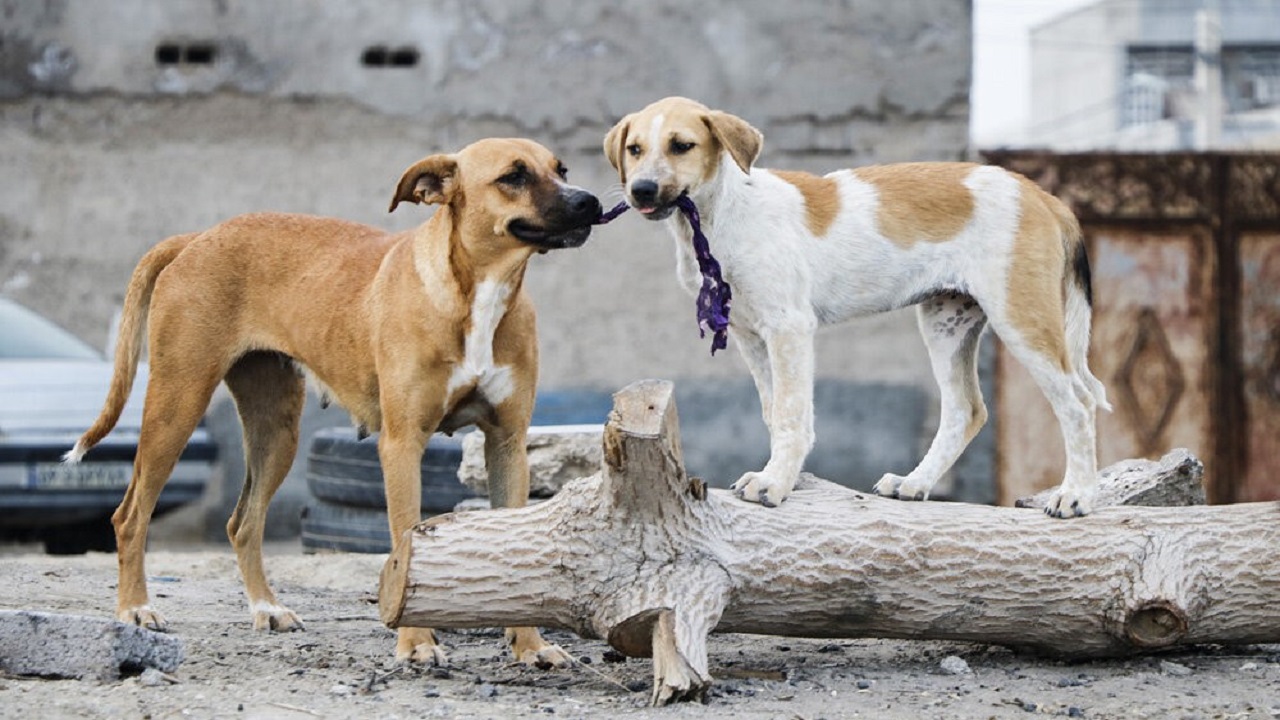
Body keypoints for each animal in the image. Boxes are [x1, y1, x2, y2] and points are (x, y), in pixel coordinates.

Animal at [68, 134, 604, 661]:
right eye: (513, 175)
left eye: (562, 169)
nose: (591, 202)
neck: (478, 293)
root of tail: (197, 237)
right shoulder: (402, 445)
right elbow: (404, 540)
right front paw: (416, 642)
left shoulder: (508, 444)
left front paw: (530, 645)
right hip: (177, 407)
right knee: (130, 515)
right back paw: (136, 609)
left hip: (276, 431)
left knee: (243, 522)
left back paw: (267, 608)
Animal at [604, 96, 1105, 515]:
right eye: (634, 149)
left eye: (681, 146)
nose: (642, 190)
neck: (720, 215)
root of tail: (1042, 195)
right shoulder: (750, 335)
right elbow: (773, 412)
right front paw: (778, 475)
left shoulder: (788, 328)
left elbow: (791, 414)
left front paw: (775, 483)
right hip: (946, 321)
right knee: (966, 408)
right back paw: (915, 483)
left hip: (1021, 318)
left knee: (1078, 405)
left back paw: (1076, 495)